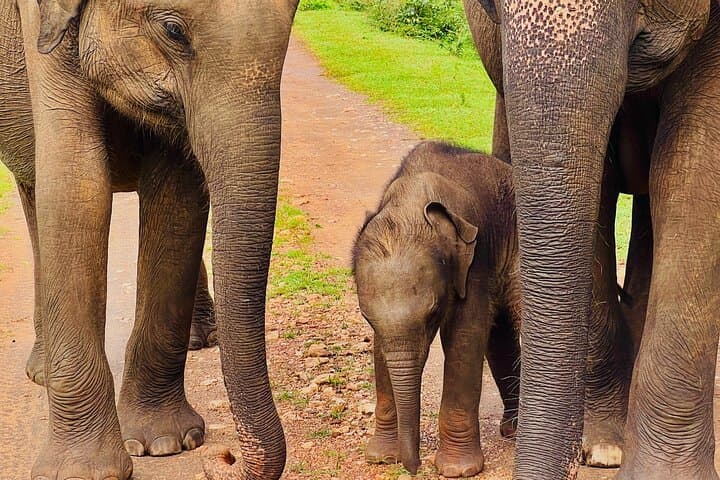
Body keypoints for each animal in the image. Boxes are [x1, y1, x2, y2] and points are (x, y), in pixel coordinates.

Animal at [0, 0, 298, 479]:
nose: (226, 456)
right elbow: (76, 187)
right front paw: (85, 471)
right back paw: (41, 374)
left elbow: (178, 191)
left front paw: (166, 443)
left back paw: (202, 337)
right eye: (173, 31)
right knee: (35, 202)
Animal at [354, 141, 522, 476]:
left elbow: (465, 338)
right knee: (500, 336)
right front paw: (381, 457)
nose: (413, 467)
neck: (410, 205)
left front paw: (457, 470)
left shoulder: (475, 260)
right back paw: (513, 429)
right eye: (366, 318)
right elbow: (381, 350)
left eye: (432, 315)